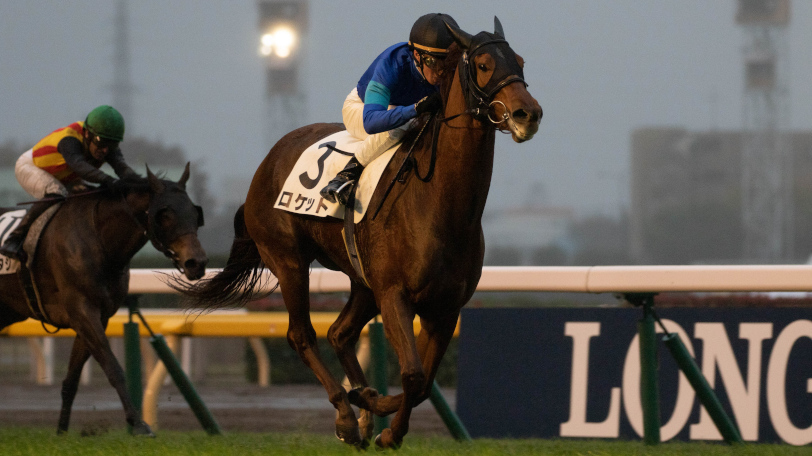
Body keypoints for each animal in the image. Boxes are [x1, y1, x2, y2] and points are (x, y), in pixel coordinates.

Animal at [0, 164, 208, 436]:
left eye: (195, 214)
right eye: (165, 215)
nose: (197, 263)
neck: (99, 238)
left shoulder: (97, 315)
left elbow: (72, 380)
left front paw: (62, 432)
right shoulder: (82, 310)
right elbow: (114, 368)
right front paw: (139, 424)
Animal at [177, 18, 541, 448]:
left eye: (520, 61)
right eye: (484, 65)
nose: (528, 113)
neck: (442, 206)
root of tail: (267, 161)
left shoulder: (445, 307)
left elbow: (423, 383)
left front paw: (382, 420)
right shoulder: (395, 294)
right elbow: (413, 375)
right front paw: (375, 413)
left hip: (361, 282)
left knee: (338, 333)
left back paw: (360, 412)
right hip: (289, 262)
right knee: (302, 335)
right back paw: (347, 416)